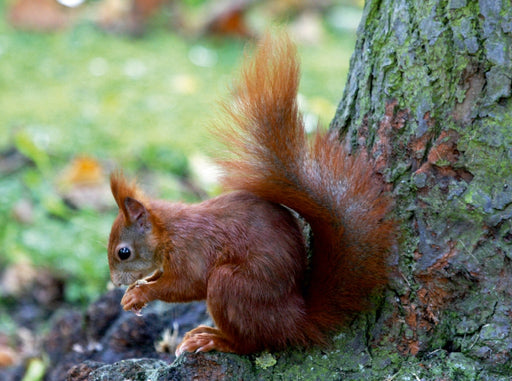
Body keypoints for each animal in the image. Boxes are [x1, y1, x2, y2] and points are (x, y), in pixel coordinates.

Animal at [107, 34, 396, 354]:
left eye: (123, 252)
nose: (116, 283)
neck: (168, 231)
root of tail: (294, 320)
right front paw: (134, 290)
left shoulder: (190, 251)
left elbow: (185, 285)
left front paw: (141, 293)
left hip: (232, 286)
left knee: (251, 343)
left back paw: (214, 339)